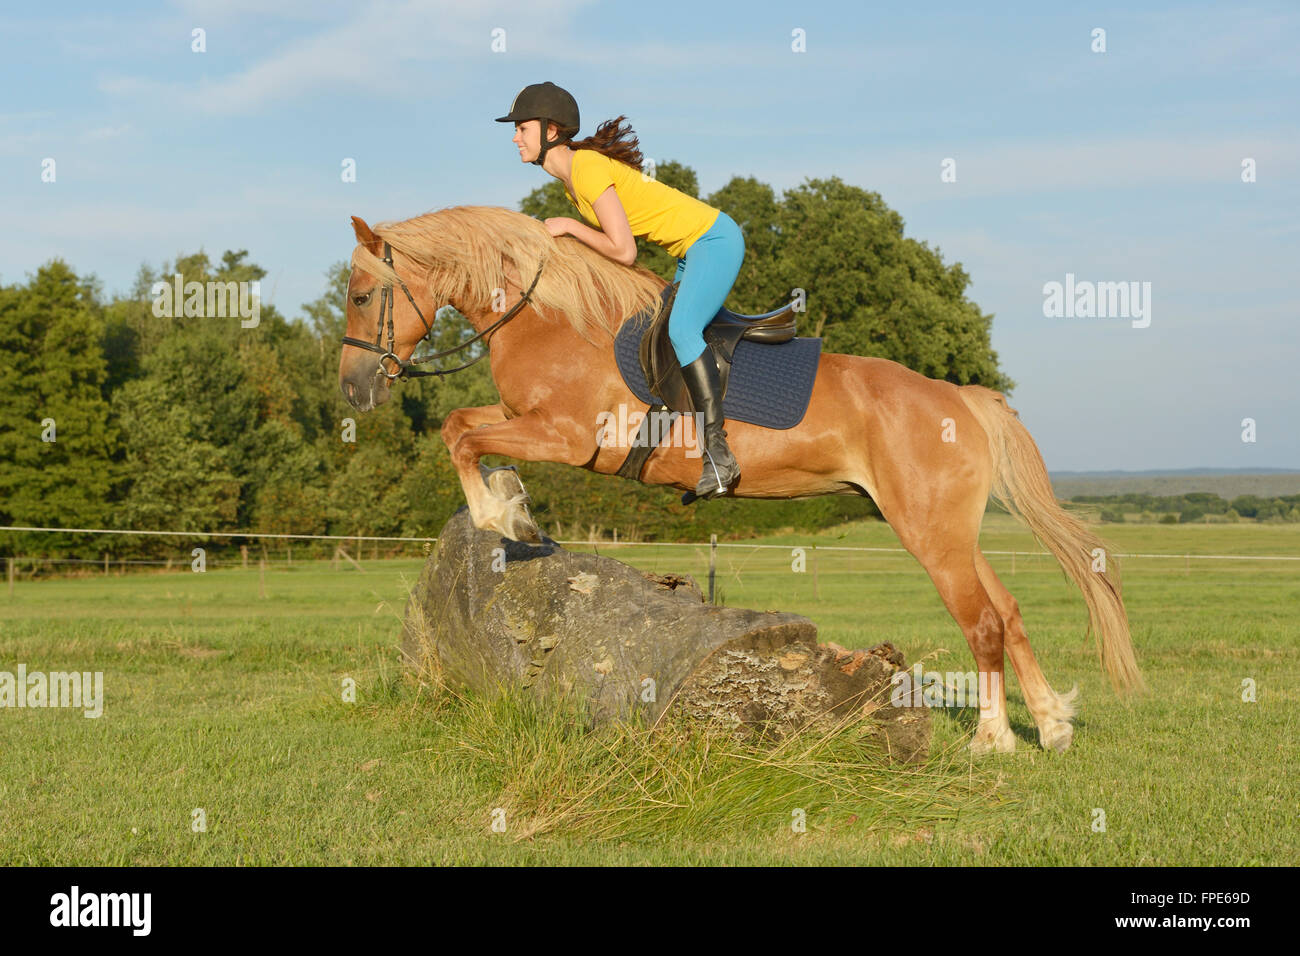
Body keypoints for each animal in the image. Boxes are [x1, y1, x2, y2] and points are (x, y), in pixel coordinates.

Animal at [338, 205, 1143, 754]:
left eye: (358, 296)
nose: (354, 390)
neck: (550, 317)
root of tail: (960, 398)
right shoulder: (523, 419)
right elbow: (463, 425)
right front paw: (509, 502)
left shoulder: (566, 437)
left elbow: (460, 434)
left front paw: (499, 515)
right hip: (950, 530)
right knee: (1007, 612)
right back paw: (1052, 724)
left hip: (931, 534)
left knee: (981, 622)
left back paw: (992, 739)